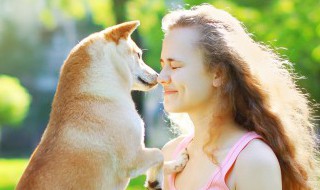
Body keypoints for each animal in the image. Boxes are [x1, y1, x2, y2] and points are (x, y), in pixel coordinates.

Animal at [16, 20, 188, 190]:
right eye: (138, 55)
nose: (158, 76)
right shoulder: (133, 158)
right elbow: (159, 153)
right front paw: (155, 180)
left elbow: (163, 159)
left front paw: (176, 164)